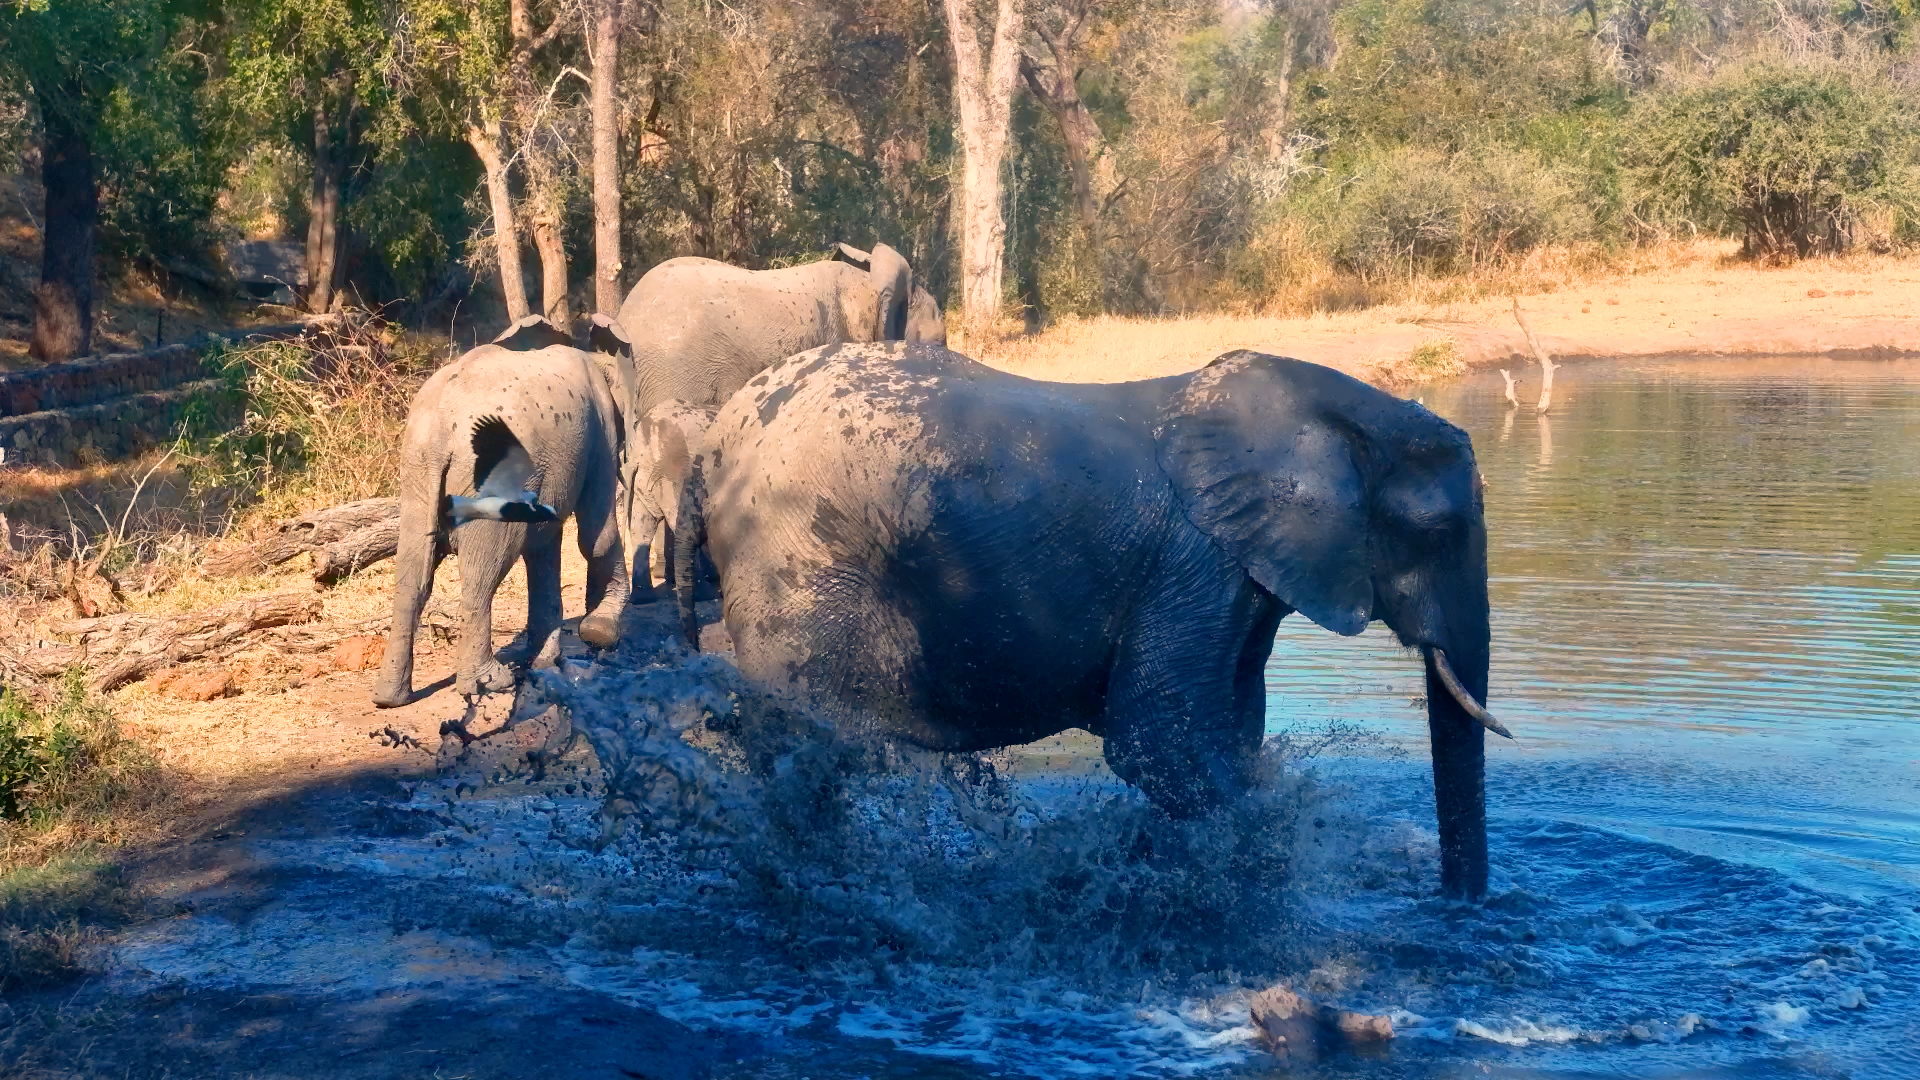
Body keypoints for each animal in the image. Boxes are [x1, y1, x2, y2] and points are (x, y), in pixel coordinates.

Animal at [372, 315, 632, 709]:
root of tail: (439, 429)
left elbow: (544, 545)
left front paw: (545, 661)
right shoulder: (600, 429)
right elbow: (595, 533)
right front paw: (600, 632)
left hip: (415, 472)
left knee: (413, 569)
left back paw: (391, 698)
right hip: (488, 477)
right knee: (484, 569)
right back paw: (489, 682)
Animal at [673, 343, 1507, 898]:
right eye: (1439, 531)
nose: (1458, 903)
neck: (1324, 411)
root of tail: (712, 444)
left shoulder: (1237, 575)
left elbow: (1226, 733)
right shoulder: (1194, 562)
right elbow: (1158, 740)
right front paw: (1282, 854)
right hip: (796, 561)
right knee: (809, 747)